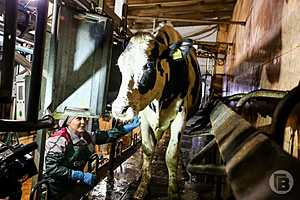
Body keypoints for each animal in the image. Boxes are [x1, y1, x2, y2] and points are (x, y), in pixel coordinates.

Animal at [112, 24, 202, 198]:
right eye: (120, 65)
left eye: (148, 65)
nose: (119, 110)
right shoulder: (145, 119)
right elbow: (148, 149)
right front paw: (142, 187)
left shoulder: (180, 117)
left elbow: (171, 155)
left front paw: (173, 192)